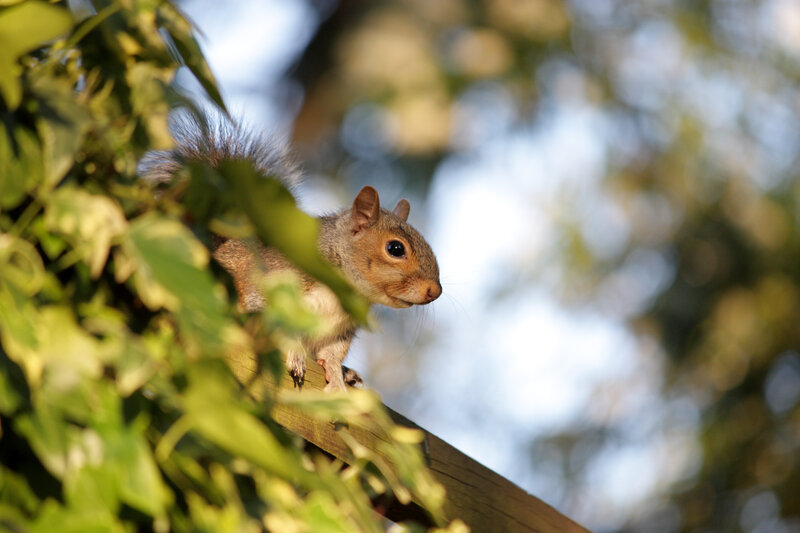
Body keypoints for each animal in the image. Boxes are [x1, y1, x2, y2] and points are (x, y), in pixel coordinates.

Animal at [140, 119, 442, 391]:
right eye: (396, 249)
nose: (435, 291)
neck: (340, 289)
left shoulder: (340, 330)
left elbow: (332, 353)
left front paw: (336, 373)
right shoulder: (271, 280)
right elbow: (272, 320)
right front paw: (296, 353)